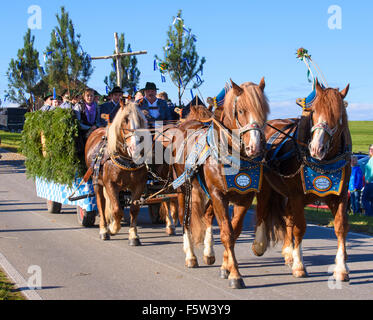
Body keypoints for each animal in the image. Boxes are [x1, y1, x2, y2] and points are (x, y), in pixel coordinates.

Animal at [84, 99, 148, 244]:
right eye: (125, 120)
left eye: (141, 119)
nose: (136, 148)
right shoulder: (110, 184)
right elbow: (117, 209)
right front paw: (113, 228)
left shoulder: (139, 185)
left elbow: (134, 209)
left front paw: (133, 235)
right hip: (97, 183)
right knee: (101, 203)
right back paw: (104, 229)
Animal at [169, 79, 270, 288]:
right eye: (241, 110)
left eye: (264, 110)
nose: (255, 147)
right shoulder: (218, 194)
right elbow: (226, 233)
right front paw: (235, 275)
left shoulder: (244, 197)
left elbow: (235, 231)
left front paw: (226, 267)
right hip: (184, 188)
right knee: (185, 218)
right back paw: (190, 256)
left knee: (206, 216)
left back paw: (208, 253)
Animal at [251, 80, 350, 282]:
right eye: (313, 111)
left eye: (338, 116)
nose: (317, 148)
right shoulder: (297, 195)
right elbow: (300, 228)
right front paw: (299, 265)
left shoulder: (340, 195)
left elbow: (340, 228)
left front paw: (341, 268)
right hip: (267, 187)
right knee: (263, 211)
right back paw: (260, 244)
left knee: (288, 217)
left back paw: (288, 251)